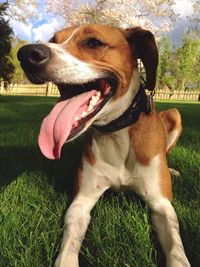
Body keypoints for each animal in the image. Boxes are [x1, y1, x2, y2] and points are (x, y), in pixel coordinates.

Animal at [17, 24, 191, 266]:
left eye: (93, 43)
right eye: (54, 40)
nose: (27, 54)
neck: (116, 132)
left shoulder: (161, 204)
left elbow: (176, 247)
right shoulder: (81, 202)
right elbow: (70, 241)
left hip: (175, 114)